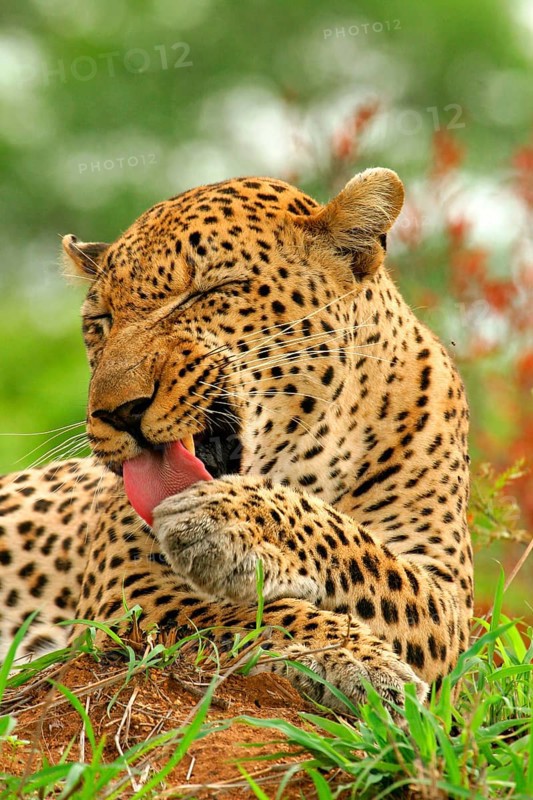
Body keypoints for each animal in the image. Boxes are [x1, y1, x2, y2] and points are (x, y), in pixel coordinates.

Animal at [0, 168, 473, 712]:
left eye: (209, 292)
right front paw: (355, 657)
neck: (312, 459)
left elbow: (370, 561)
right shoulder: (126, 586)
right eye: (101, 323)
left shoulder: (450, 598)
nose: (117, 412)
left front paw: (234, 523)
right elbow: (244, 614)